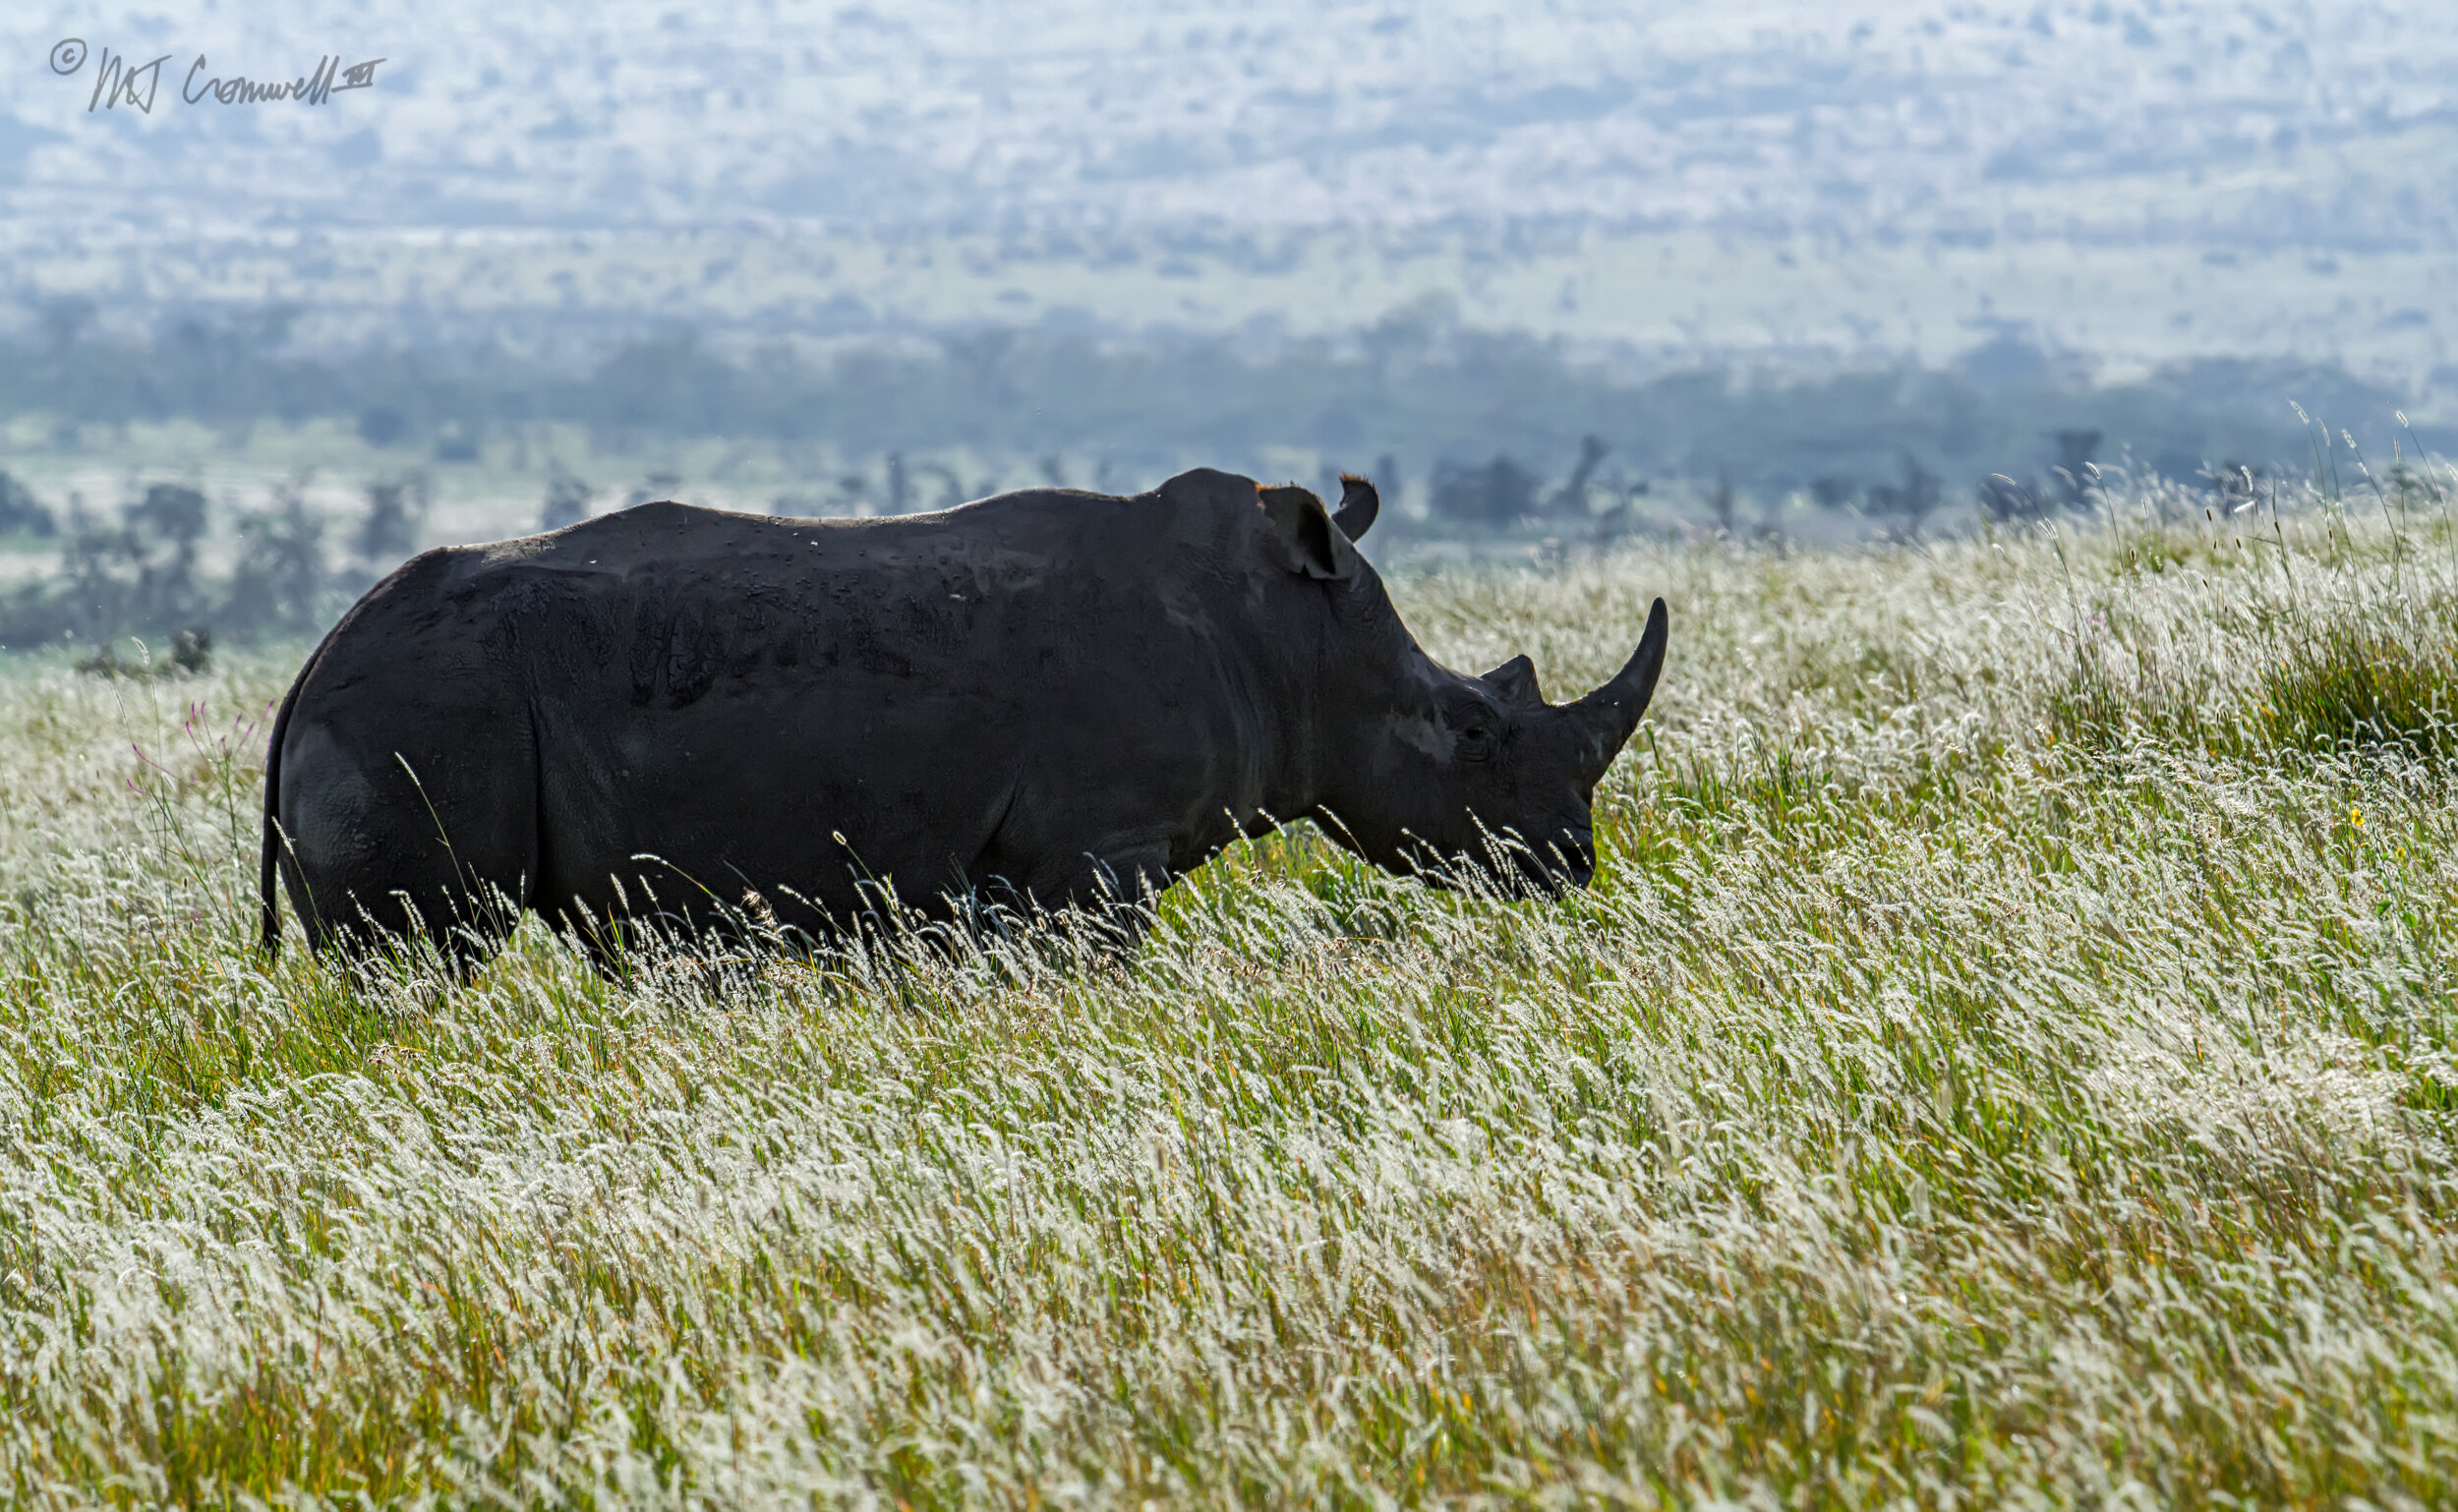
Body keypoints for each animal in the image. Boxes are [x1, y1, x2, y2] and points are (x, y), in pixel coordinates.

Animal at [259, 467, 1668, 966]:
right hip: (431, 707)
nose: (1572, 865)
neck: (1295, 639)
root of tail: (313, 661)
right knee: (424, 957)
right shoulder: (1101, 847)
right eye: (1471, 732)